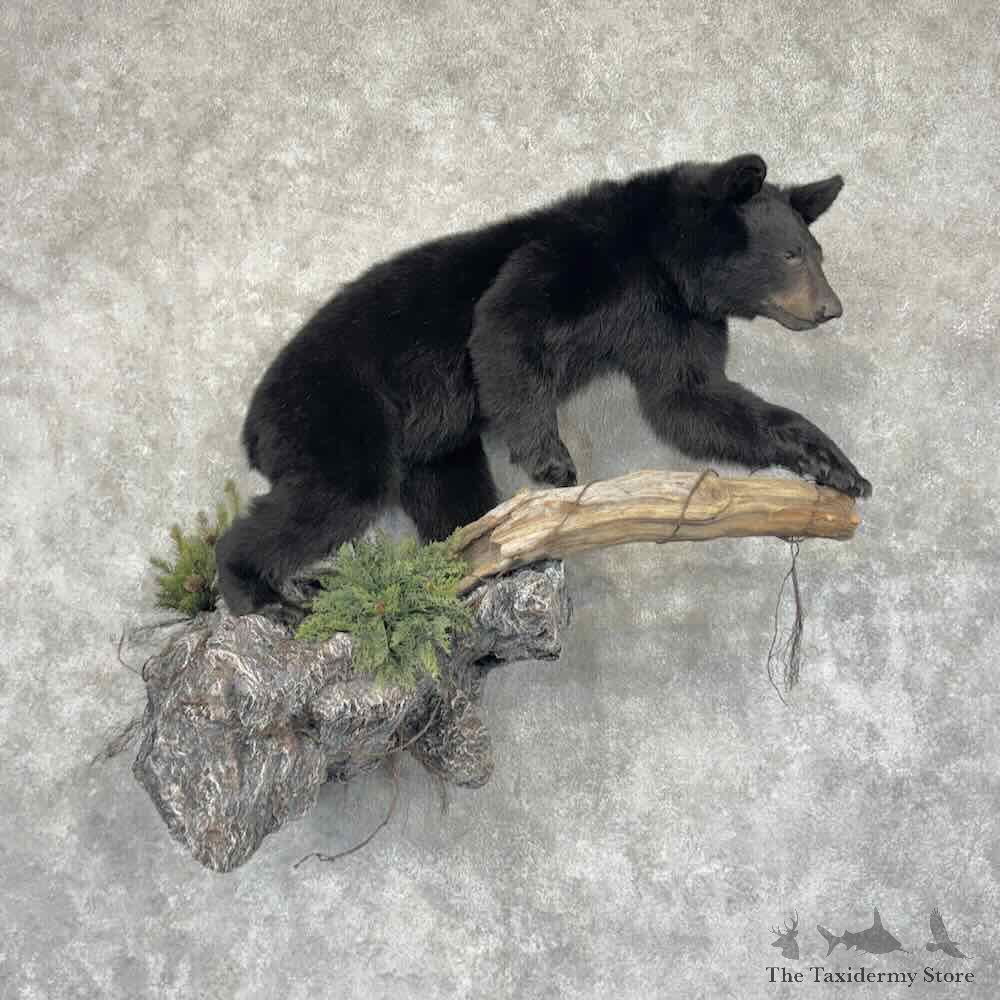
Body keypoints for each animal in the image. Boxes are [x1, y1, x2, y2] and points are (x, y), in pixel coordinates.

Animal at [216, 153, 871, 616]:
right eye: (790, 255)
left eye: (816, 251)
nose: (832, 308)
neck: (662, 263)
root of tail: (252, 429)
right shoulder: (580, 258)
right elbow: (507, 320)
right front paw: (551, 461)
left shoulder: (675, 322)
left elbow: (692, 400)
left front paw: (834, 465)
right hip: (335, 407)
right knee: (335, 494)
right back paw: (257, 591)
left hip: (430, 441)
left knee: (448, 492)